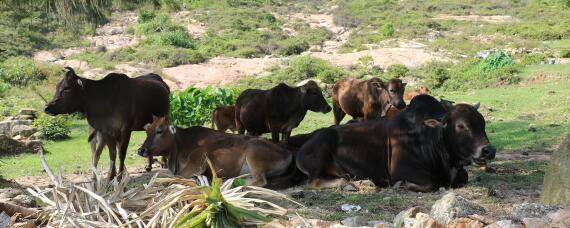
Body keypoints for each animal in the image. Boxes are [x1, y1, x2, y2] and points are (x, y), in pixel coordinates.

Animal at [292, 93, 492, 191]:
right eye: (461, 126)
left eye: (482, 122)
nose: (489, 150)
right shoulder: (403, 170)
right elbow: (430, 183)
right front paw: (402, 185)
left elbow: (464, 177)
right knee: (314, 182)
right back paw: (347, 183)